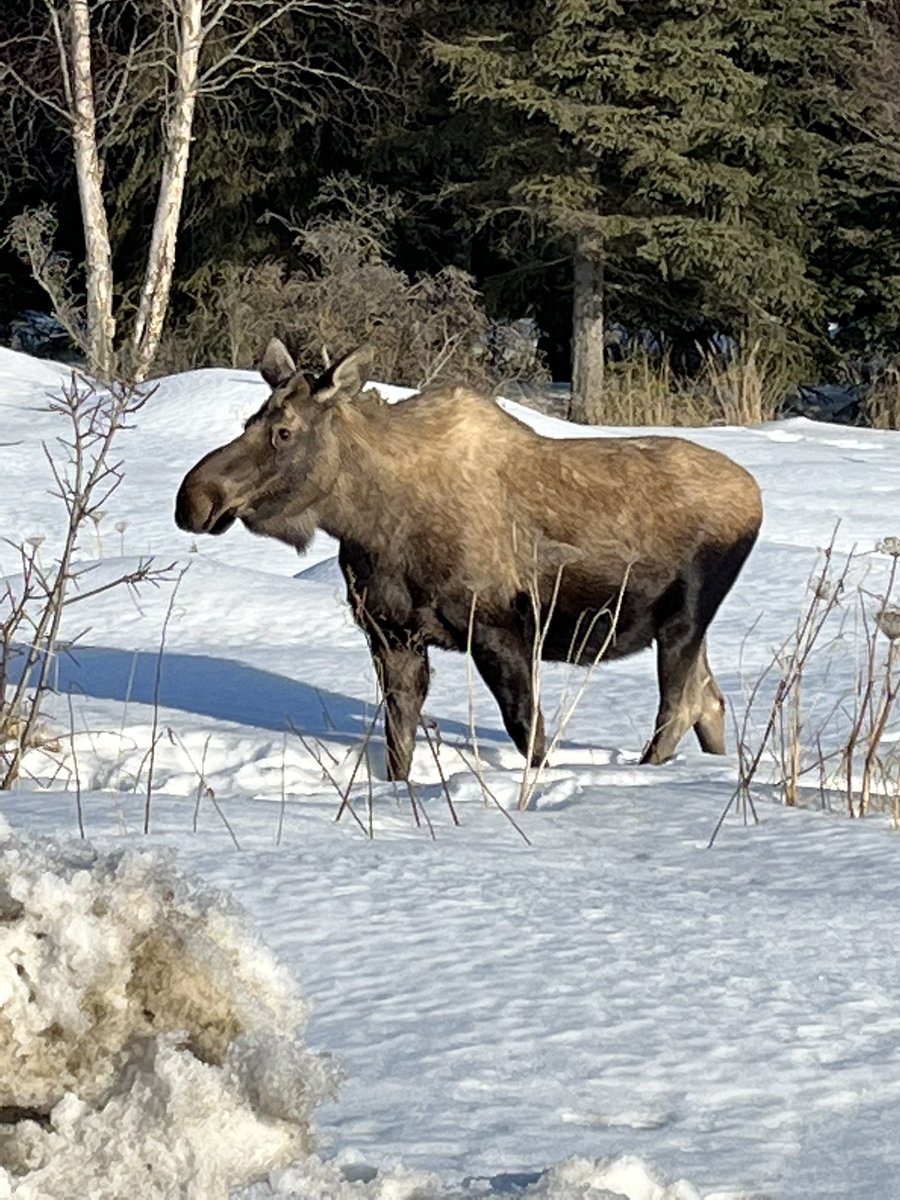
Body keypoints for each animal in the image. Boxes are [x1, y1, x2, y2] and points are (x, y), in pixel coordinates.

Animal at [175, 339, 762, 780]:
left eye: (284, 431)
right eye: (250, 420)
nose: (194, 498)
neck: (368, 520)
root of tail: (755, 497)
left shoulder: (499, 629)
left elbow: (529, 734)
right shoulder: (391, 634)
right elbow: (399, 745)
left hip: (685, 616)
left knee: (679, 708)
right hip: (682, 627)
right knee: (710, 702)